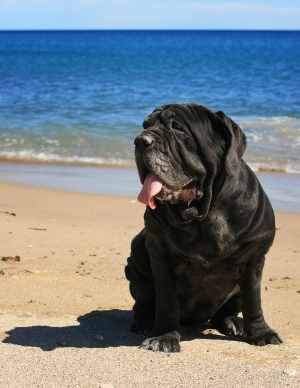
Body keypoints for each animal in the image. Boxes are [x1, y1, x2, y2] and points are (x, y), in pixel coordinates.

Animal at [125, 103, 282, 352]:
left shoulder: (254, 257)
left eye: (178, 128)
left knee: (225, 312)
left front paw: (261, 332)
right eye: (145, 125)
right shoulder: (160, 253)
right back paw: (142, 322)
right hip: (137, 254)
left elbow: (253, 300)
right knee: (143, 302)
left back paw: (233, 323)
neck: (204, 214)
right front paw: (164, 336)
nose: (140, 140)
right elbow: (166, 300)